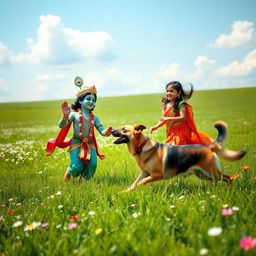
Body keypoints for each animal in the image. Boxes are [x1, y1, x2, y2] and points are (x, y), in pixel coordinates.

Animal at [111, 121, 246, 191]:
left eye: (124, 129)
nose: (111, 130)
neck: (141, 146)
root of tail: (209, 146)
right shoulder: (144, 173)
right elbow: (134, 183)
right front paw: (125, 192)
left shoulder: (156, 175)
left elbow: (141, 182)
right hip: (204, 174)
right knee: (218, 181)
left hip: (211, 171)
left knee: (228, 177)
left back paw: (230, 190)